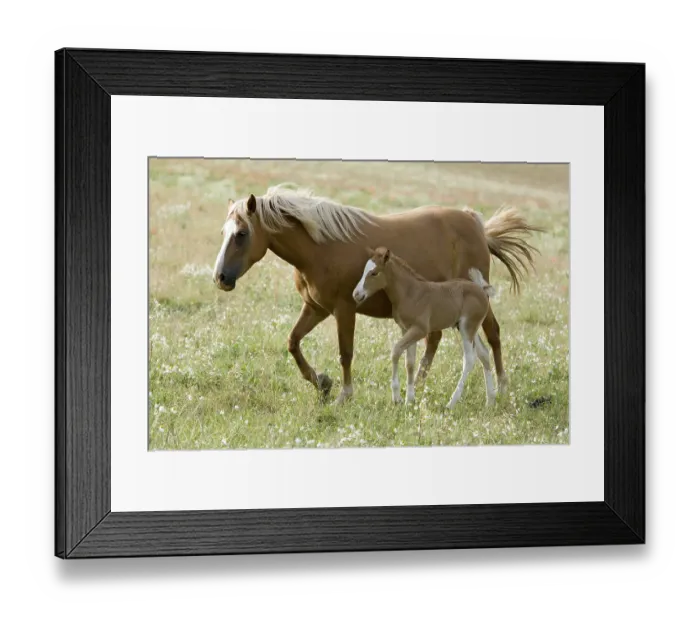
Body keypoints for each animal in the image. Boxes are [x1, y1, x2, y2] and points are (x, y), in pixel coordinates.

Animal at [352, 247, 496, 409]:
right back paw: (490, 401)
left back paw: (451, 403)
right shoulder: (406, 329)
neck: (410, 293)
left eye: (374, 273)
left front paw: (397, 397)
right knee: (484, 353)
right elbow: (409, 362)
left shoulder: (420, 330)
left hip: (467, 327)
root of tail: (481, 289)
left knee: (469, 358)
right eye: (364, 270)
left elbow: (395, 351)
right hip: (467, 327)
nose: (356, 294)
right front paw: (409, 399)